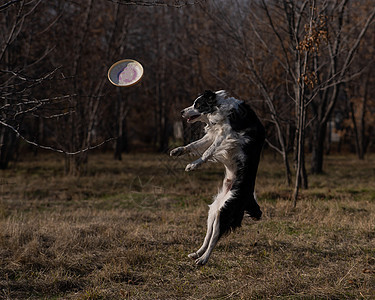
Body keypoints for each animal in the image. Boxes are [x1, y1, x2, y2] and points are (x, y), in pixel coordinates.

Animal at [170, 89, 264, 264]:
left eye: (197, 104)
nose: (181, 111)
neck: (220, 107)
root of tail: (249, 197)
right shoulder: (214, 133)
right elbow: (194, 144)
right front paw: (178, 150)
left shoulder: (227, 134)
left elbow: (208, 152)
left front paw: (193, 165)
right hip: (215, 210)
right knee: (209, 235)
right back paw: (197, 253)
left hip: (226, 210)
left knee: (215, 238)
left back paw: (203, 259)